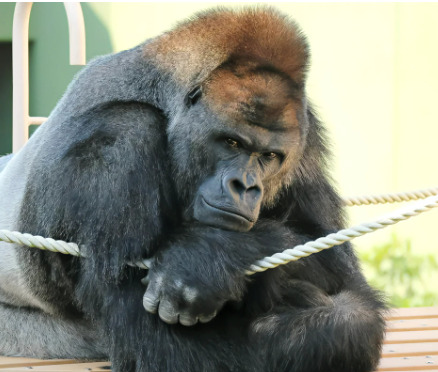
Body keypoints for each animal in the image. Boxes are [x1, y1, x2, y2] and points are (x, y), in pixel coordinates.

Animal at [0, 6, 384, 372]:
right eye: (231, 142)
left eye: (270, 156)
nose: (246, 186)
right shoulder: (114, 145)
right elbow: (160, 344)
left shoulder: (306, 135)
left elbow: (339, 269)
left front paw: (206, 259)